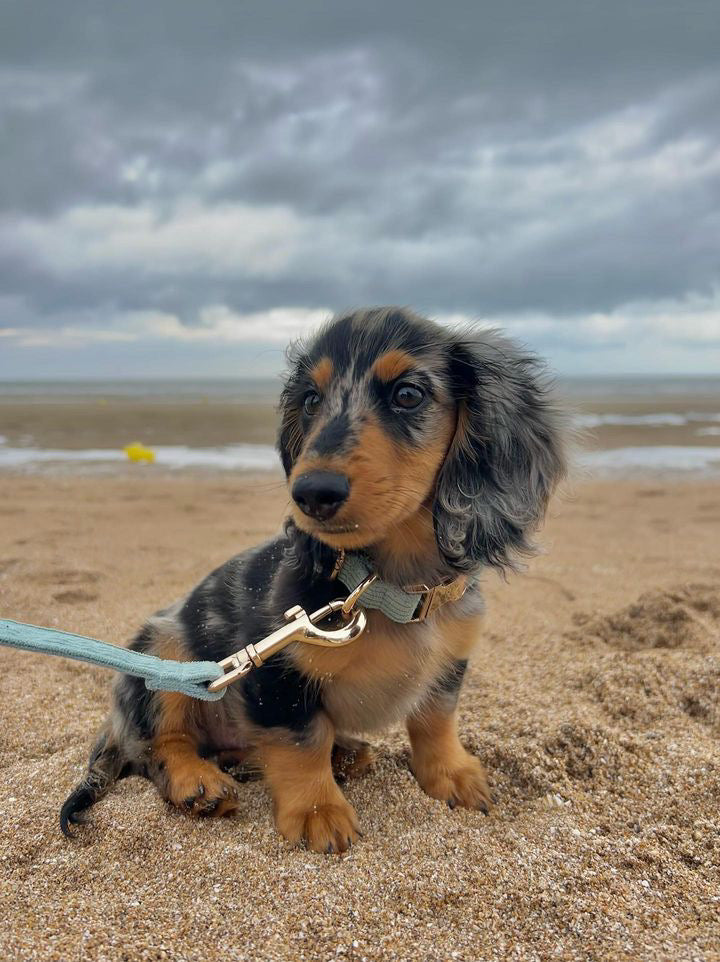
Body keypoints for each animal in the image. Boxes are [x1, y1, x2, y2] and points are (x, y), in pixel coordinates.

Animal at [62, 306, 568, 848]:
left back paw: (341, 754)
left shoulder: (450, 660)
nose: (311, 492)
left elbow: (436, 720)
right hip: (167, 653)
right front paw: (317, 809)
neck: (385, 587)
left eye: (408, 394)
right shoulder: (274, 668)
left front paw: (450, 774)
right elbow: (301, 741)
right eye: (310, 400)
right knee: (162, 743)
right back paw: (197, 781)